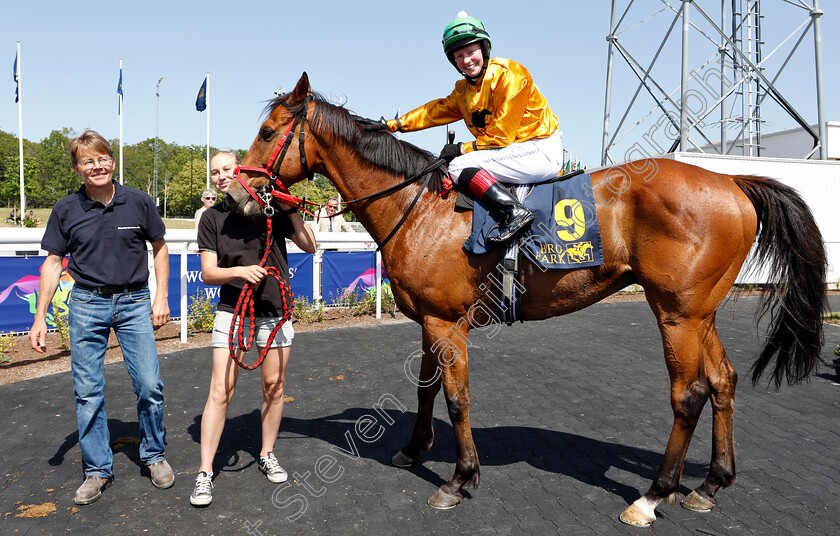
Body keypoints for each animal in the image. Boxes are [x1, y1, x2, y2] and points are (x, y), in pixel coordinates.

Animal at [225, 72, 828, 528]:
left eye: (266, 131)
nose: (234, 196)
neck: (419, 206)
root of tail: (734, 184)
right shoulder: (427, 319)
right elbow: (424, 389)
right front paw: (414, 449)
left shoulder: (448, 322)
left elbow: (456, 399)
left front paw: (459, 478)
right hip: (702, 311)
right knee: (723, 381)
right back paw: (711, 483)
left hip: (676, 313)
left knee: (689, 394)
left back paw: (653, 495)